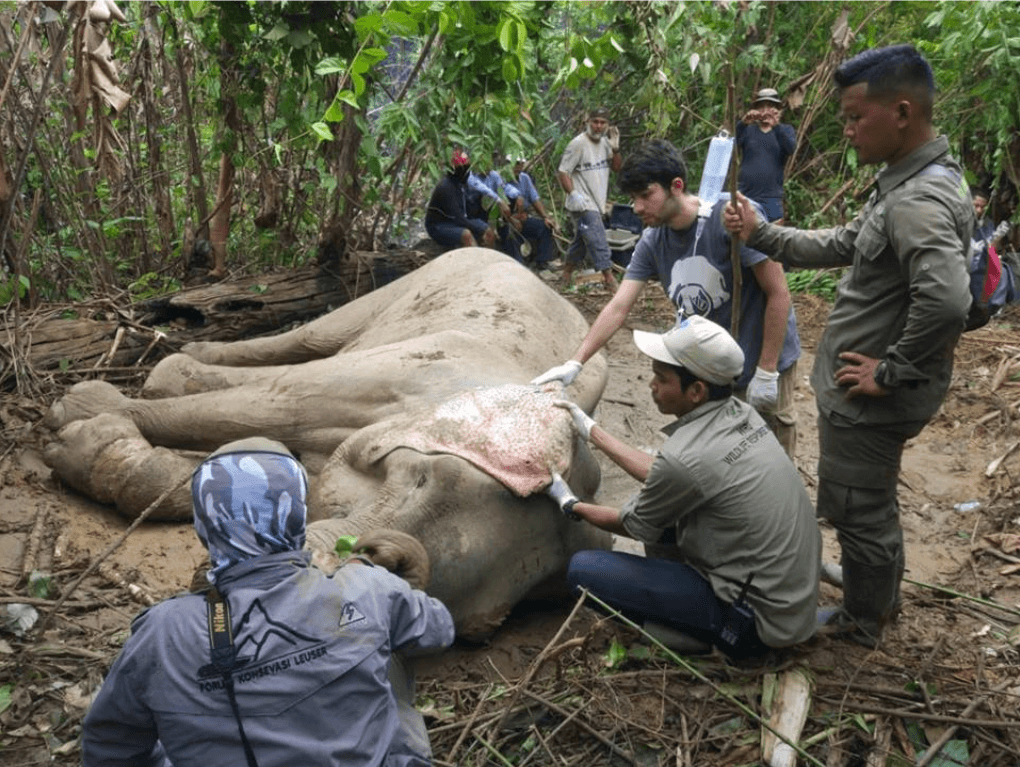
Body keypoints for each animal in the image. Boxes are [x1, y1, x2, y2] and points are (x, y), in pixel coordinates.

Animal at [43, 248, 612, 641]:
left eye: (483, 630)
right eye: (420, 479)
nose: (382, 557)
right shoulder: (413, 371)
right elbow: (279, 403)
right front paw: (80, 419)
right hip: (429, 275)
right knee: (306, 340)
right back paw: (176, 358)